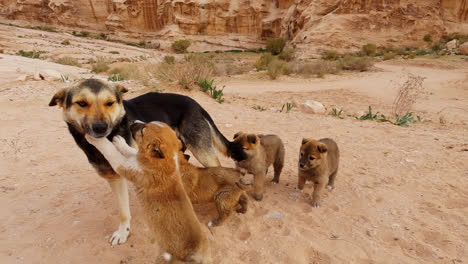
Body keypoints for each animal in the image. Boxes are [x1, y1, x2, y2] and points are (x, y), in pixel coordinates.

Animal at [49, 78, 230, 245]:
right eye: (81, 103)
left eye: (109, 103)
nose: (100, 128)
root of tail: (195, 103)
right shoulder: (115, 178)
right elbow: (123, 210)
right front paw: (123, 232)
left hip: (203, 152)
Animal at [86, 122, 212, 262]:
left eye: (142, 131)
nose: (132, 123)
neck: (165, 160)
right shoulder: (135, 159)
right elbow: (132, 151)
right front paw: (120, 142)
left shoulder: (124, 166)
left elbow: (111, 151)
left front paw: (95, 139)